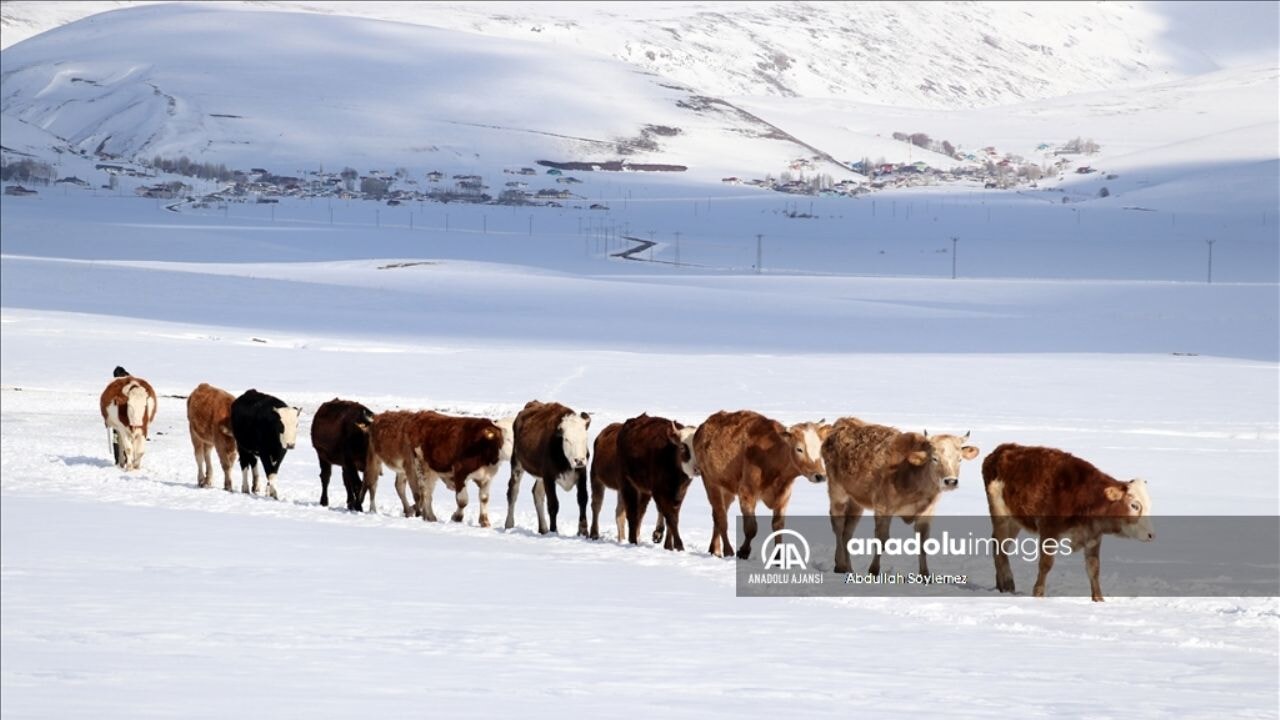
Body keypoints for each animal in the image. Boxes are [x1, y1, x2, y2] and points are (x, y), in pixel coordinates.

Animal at [504, 397, 593, 532]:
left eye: (585, 438)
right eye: (566, 439)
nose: (579, 460)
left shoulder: (582, 473)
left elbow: (582, 499)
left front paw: (583, 532)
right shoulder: (549, 477)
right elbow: (553, 505)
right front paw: (554, 531)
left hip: (540, 476)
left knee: (537, 493)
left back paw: (543, 529)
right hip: (517, 463)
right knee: (513, 491)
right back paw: (509, 524)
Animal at [611, 412, 696, 545]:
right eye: (682, 447)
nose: (696, 468)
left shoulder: (680, 492)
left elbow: (673, 516)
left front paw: (668, 545)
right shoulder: (659, 491)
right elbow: (670, 517)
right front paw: (679, 545)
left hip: (644, 490)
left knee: (640, 512)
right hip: (628, 483)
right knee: (632, 513)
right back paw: (633, 540)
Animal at [691, 409, 829, 556]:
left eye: (820, 447)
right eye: (799, 449)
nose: (820, 475)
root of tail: (703, 427)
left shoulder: (784, 494)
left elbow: (778, 526)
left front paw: (778, 556)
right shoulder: (746, 492)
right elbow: (751, 528)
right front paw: (743, 551)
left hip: (727, 489)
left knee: (717, 517)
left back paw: (714, 549)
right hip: (711, 483)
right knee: (721, 518)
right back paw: (727, 551)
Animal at [819, 417, 977, 573]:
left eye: (960, 459)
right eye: (934, 458)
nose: (950, 481)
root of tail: (842, 423)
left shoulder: (927, 512)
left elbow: (923, 543)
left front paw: (925, 574)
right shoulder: (883, 507)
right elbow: (881, 540)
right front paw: (873, 570)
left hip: (856, 501)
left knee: (848, 532)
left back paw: (849, 568)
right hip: (837, 492)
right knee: (838, 526)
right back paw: (840, 565)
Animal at [983, 443, 1157, 599]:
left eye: (1149, 504)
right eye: (1134, 505)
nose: (1151, 535)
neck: (1083, 496)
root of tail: (1000, 450)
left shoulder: (1093, 536)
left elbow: (1094, 568)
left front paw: (1098, 598)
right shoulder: (1049, 530)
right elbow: (1046, 563)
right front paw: (1038, 593)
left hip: (1014, 521)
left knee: (1002, 545)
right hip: (1001, 515)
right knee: (1000, 545)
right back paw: (1006, 582)